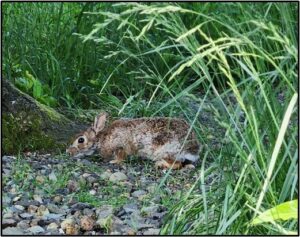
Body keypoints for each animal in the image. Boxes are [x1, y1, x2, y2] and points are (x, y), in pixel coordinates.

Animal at [67, 112, 200, 169]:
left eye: (80, 140)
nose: (68, 152)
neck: (100, 139)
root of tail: (192, 149)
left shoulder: (120, 145)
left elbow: (121, 156)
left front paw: (114, 162)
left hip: (165, 150)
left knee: (176, 164)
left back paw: (160, 163)